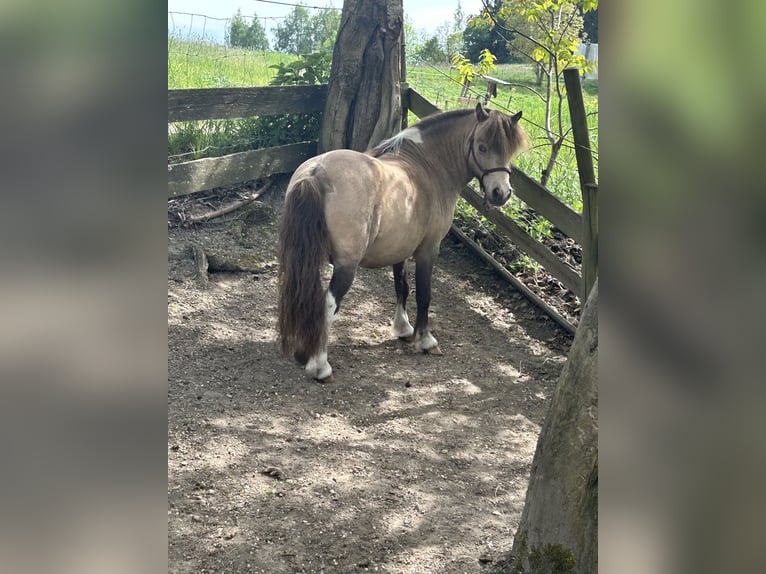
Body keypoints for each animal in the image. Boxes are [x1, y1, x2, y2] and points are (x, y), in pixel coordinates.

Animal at [277, 102, 528, 381]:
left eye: (509, 152)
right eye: (482, 146)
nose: (501, 194)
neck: (427, 165)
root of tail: (317, 171)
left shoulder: (399, 249)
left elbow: (402, 286)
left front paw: (403, 328)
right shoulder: (428, 250)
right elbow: (424, 294)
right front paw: (425, 340)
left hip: (301, 259)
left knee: (302, 295)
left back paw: (303, 351)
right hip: (345, 266)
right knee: (328, 303)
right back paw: (319, 365)